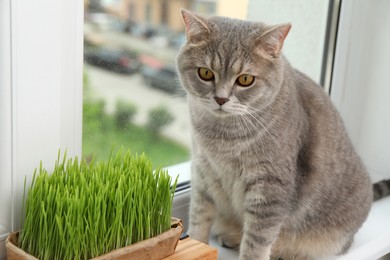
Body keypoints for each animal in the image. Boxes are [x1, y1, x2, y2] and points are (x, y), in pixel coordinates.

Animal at [176, 9, 390, 258]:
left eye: (245, 79)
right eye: (205, 73)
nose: (221, 99)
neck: (222, 136)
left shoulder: (270, 189)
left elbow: (257, 242)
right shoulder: (203, 172)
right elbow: (199, 219)